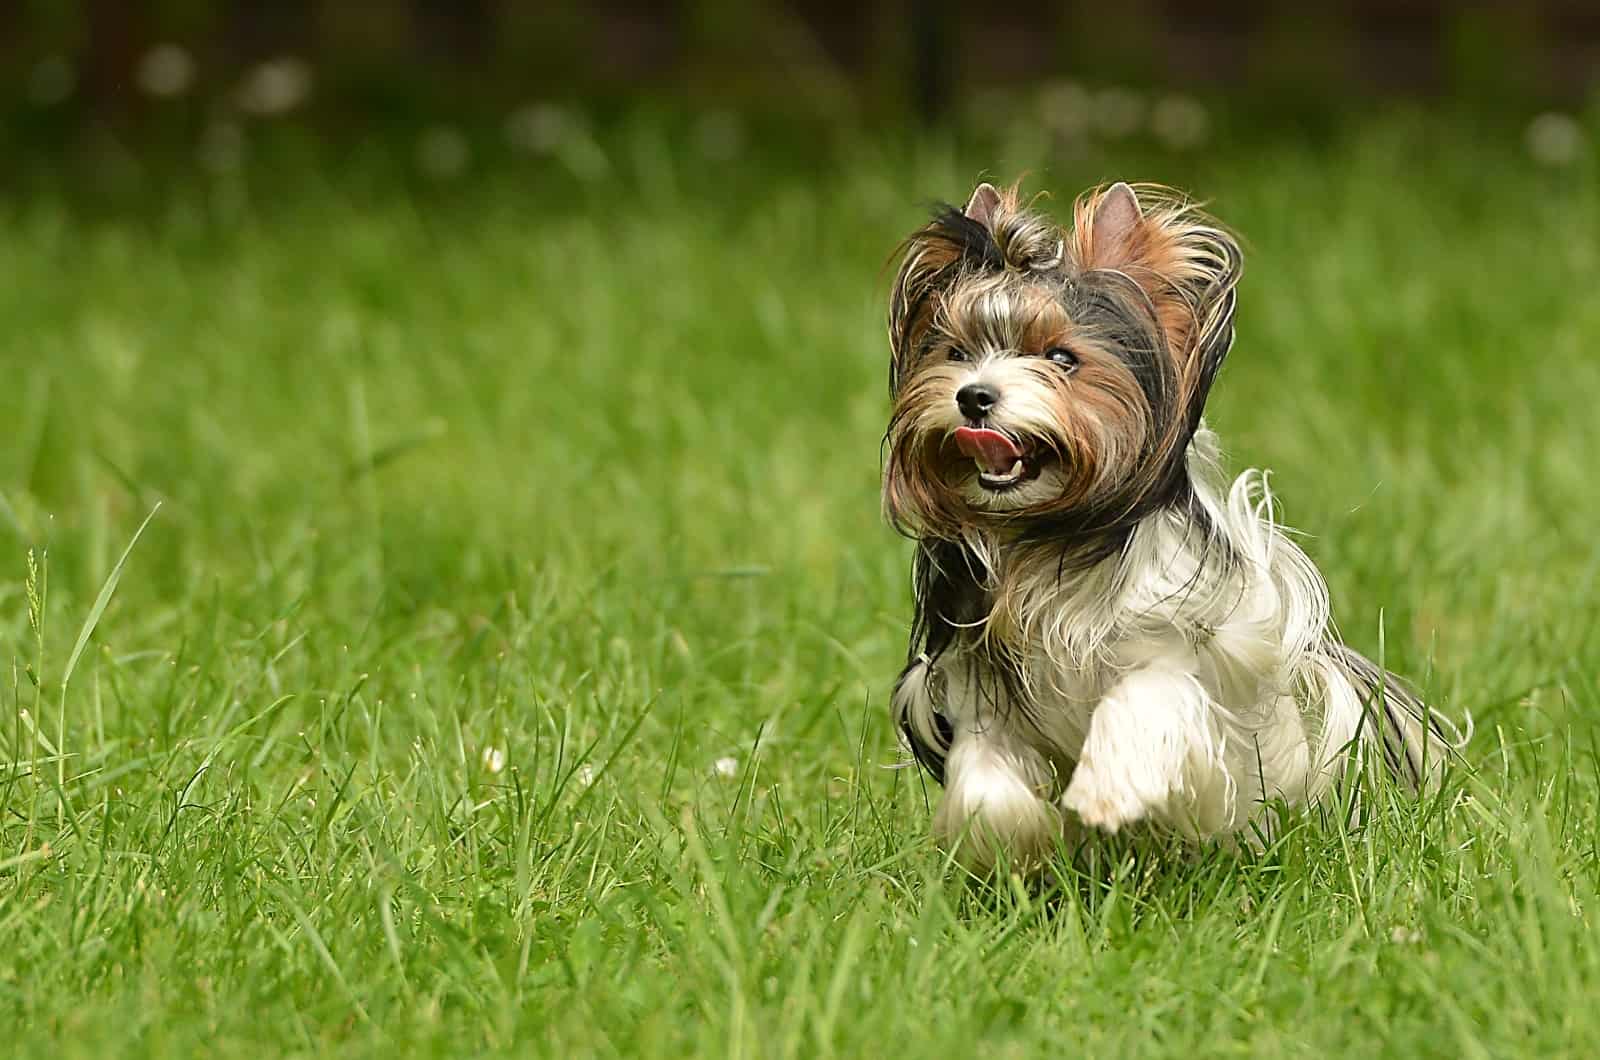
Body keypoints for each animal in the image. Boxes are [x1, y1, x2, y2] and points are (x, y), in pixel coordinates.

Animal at [889, 182, 1465, 877]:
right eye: (955, 352)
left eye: (1062, 358)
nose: (974, 396)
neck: (1049, 538)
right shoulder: (978, 689)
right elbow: (986, 779)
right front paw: (1008, 847)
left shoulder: (1183, 647)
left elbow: (1143, 696)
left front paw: (1106, 795)